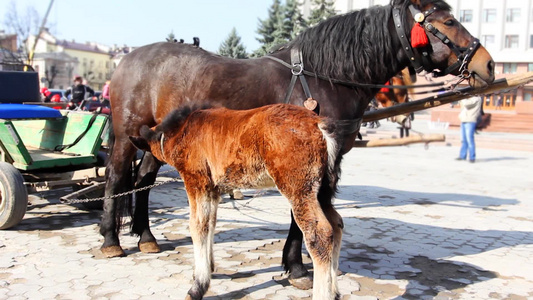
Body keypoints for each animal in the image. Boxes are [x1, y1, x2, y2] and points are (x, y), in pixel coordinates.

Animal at [103, 0, 494, 290]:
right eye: (448, 21)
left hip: (157, 144)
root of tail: (127, 58)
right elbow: (301, 217)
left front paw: (300, 265)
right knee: (116, 178)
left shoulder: (325, 165)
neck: (325, 77)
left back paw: (146, 236)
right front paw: (297, 268)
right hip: (126, 137)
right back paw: (111, 240)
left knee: (143, 179)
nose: (487, 63)